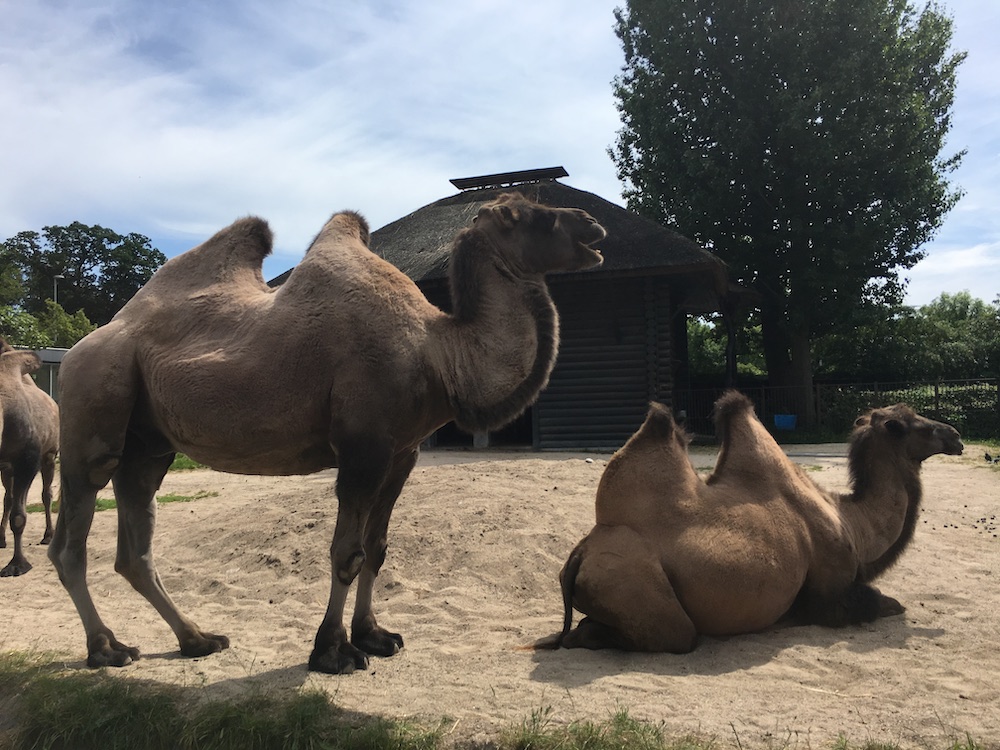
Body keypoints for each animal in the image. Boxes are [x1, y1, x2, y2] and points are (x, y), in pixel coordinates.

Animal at [47, 192, 604, 676]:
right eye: (526, 215)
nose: (591, 223)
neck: (436, 352)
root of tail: (77, 349)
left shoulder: (401, 453)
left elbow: (378, 548)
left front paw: (375, 637)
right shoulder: (363, 447)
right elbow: (347, 553)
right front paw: (333, 652)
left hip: (148, 445)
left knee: (134, 547)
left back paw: (198, 639)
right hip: (91, 408)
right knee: (71, 539)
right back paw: (107, 649)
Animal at [544, 390, 964, 656]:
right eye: (908, 424)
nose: (956, 435)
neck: (853, 524)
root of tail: (580, 553)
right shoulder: (830, 590)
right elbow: (882, 603)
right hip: (636, 585)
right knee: (669, 634)